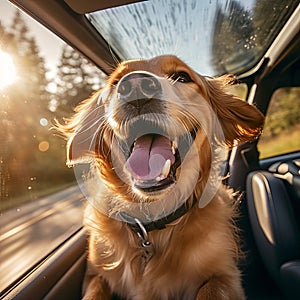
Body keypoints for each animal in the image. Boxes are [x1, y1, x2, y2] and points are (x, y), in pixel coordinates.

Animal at [59, 55, 264, 298]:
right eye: (116, 82)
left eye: (182, 77)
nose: (135, 86)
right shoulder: (94, 274)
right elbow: (95, 290)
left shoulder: (225, 275)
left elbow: (212, 288)